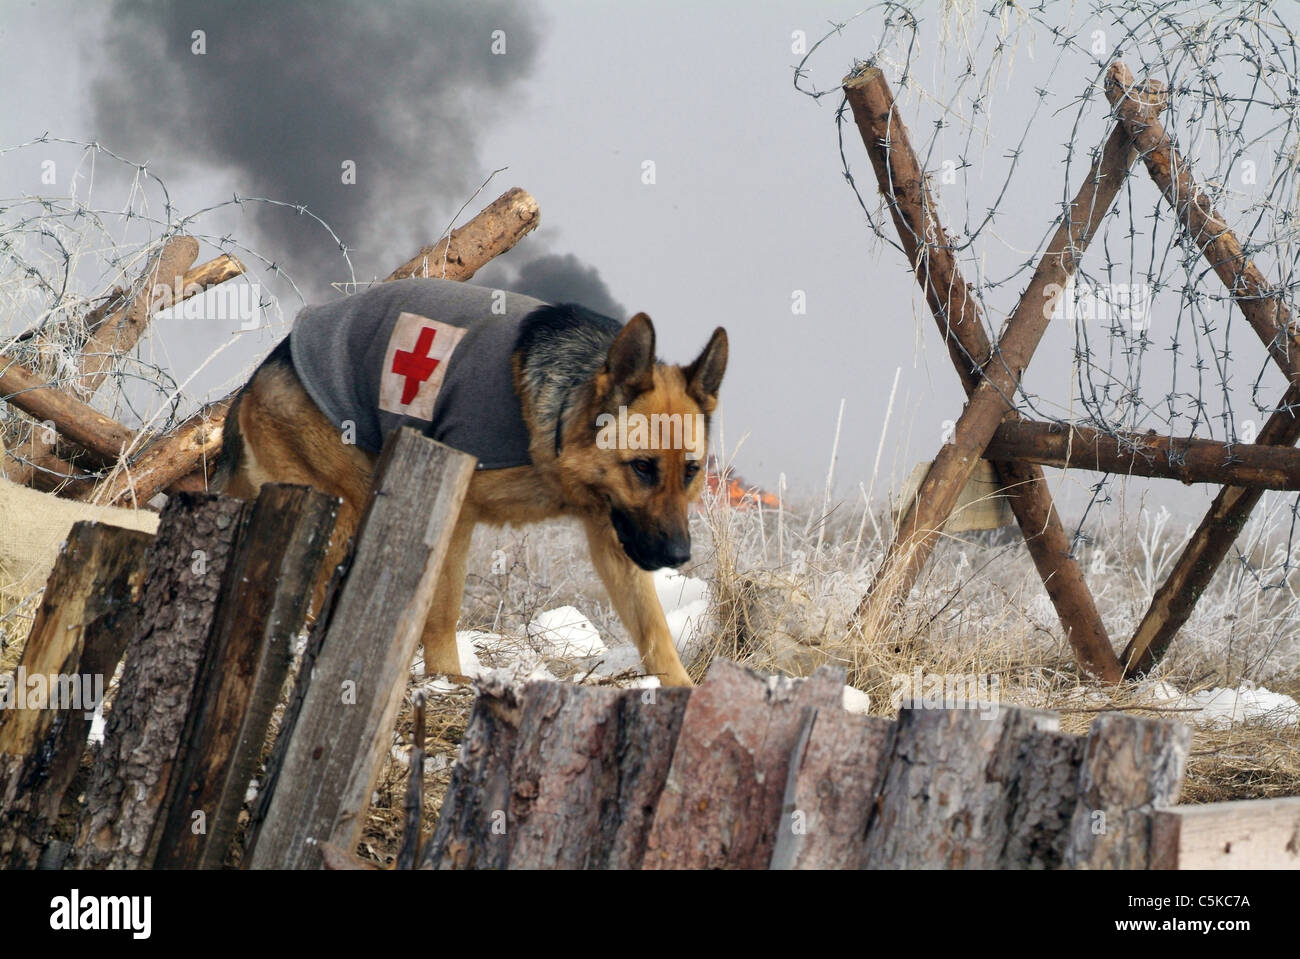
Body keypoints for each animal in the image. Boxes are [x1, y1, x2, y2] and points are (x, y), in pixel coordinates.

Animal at [210, 276, 722, 686]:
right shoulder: (457, 515)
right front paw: (446, 680)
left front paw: (683, 692)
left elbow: (653, 629)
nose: (679, 555)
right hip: (348, 508)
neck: (560, 415)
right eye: (643, 467)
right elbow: (443, 610)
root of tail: (263, 372)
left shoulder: (613, 536)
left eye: (690, 471)